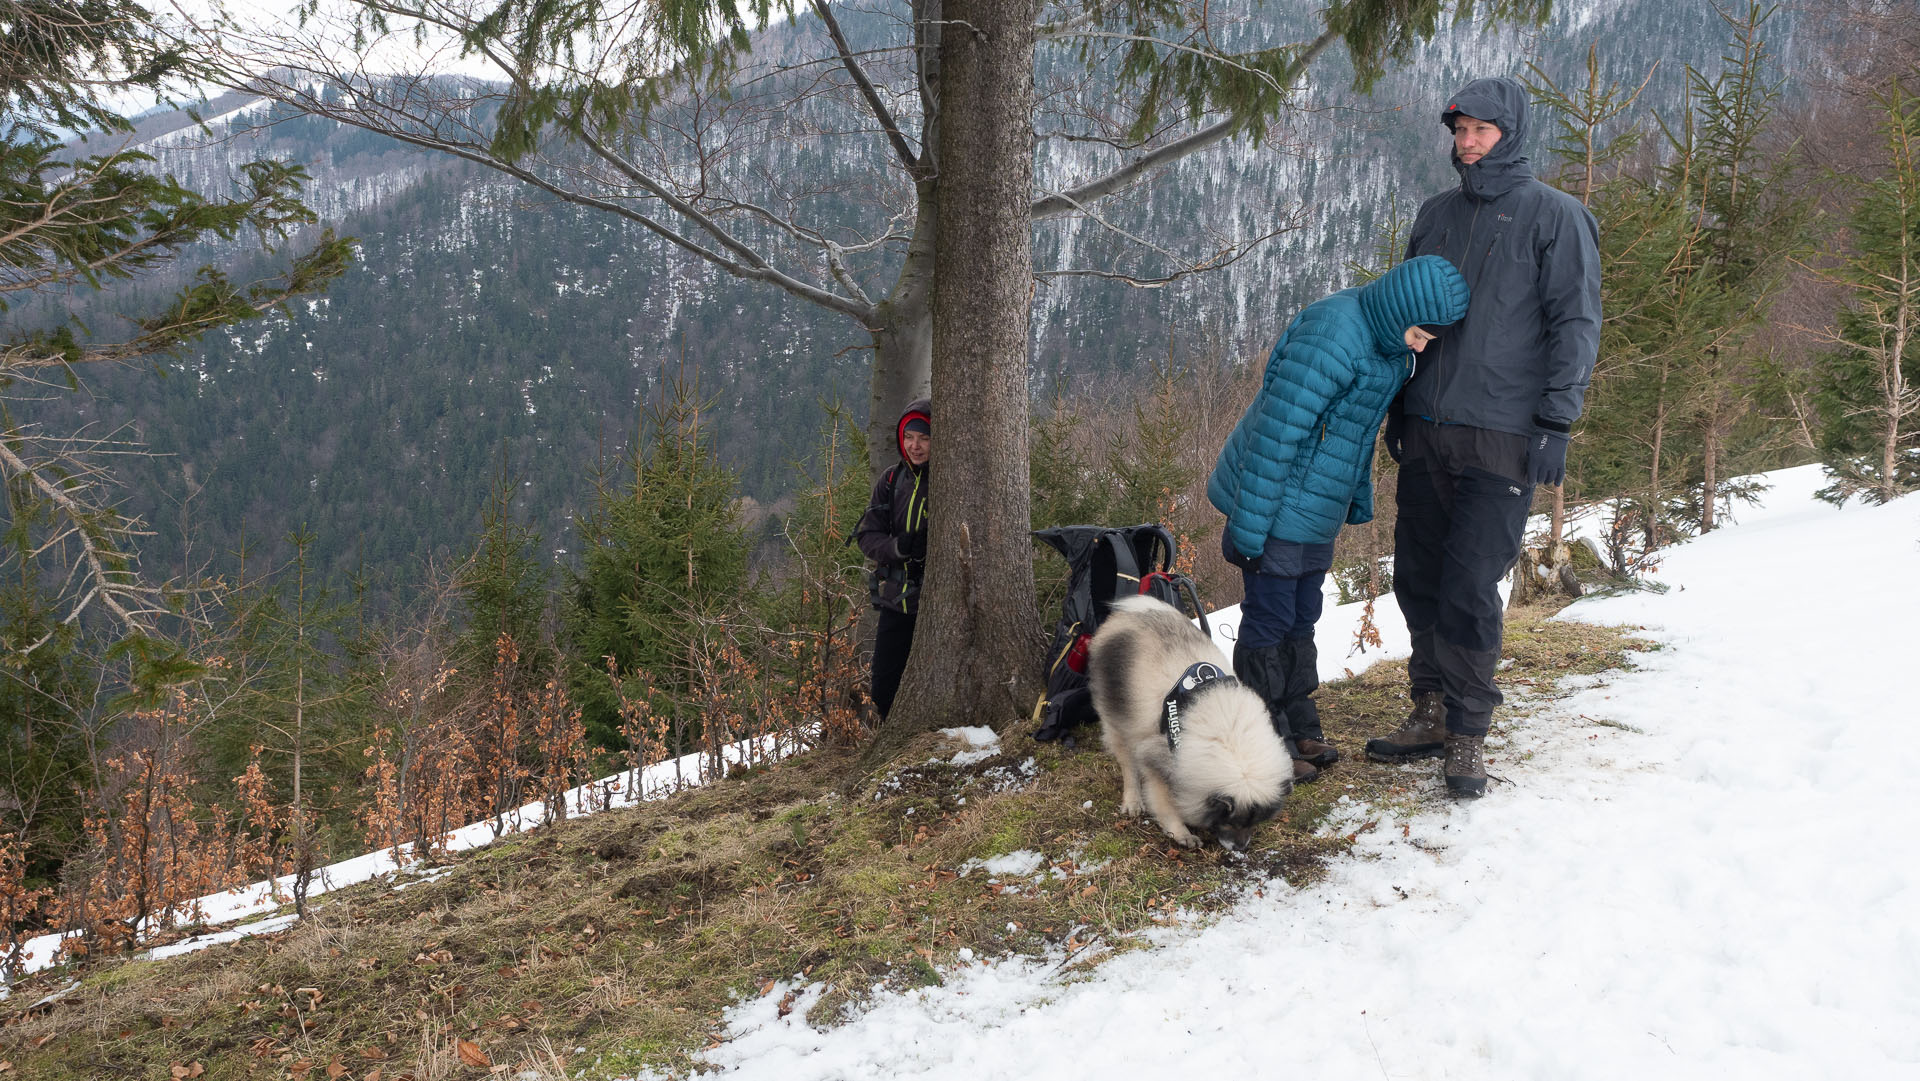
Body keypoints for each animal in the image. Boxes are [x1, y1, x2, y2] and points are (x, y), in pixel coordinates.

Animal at [1090, 595, 1297, 848]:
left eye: (1253, 822)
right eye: (1230, 822)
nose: (1241, 848)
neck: (1226, 735)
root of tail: (1129, 612)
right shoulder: (1157, 760)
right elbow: (1164, 802)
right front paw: (1181, 834)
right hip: (1118, 721)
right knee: (1128, 765)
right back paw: (1133, 802)